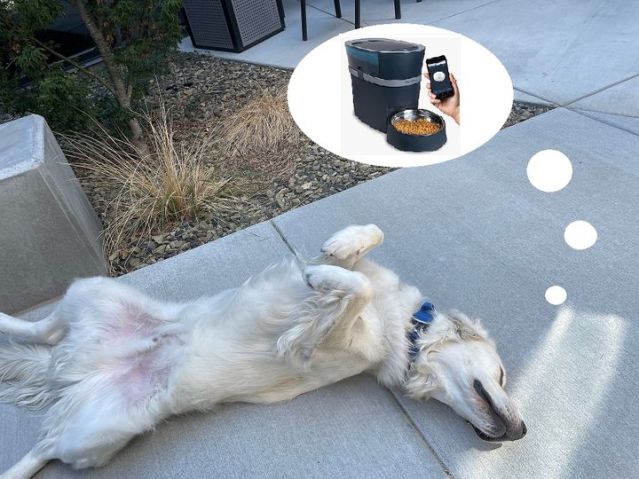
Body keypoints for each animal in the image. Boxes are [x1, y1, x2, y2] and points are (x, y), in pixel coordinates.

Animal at [0, 224, 526, 478]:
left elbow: (347, 293)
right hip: (95, 291)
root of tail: (74, 374)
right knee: (42, 327)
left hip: (98, 432)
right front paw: (337, 253)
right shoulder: (363, 281)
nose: (520, 431)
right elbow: (363, 248)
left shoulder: (334, 347)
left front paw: (323, 282)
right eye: (502, 376)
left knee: (48, 436)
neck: (405, 324)